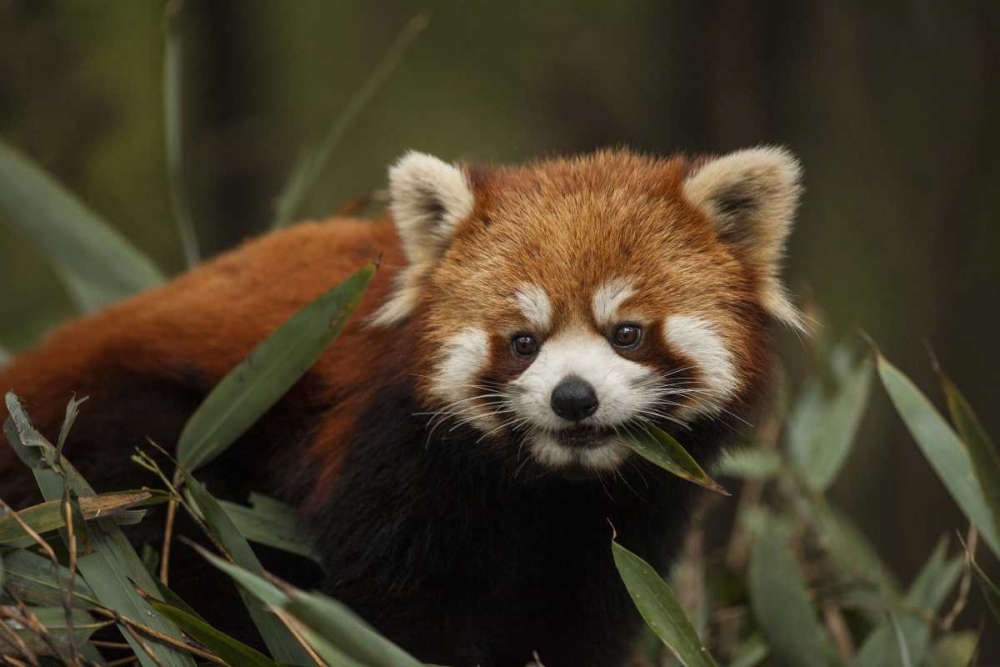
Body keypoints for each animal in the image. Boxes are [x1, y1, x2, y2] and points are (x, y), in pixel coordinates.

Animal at [0, 147, 804, 667]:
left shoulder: (624, 525)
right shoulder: (386, 452)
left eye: (627, 332)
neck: (545, 488)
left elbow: (585, 615)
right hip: (133, 436)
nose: (572, 397)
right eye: (522, 341)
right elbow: (394, 605)